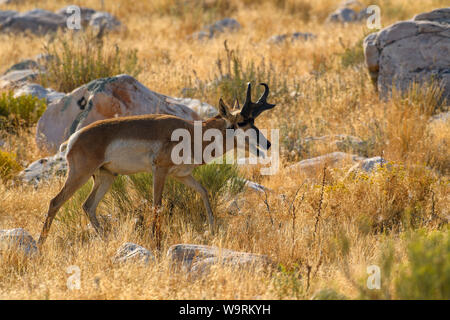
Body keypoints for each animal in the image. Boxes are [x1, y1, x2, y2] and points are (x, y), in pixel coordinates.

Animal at [38, 82, 276, 245]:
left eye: (254, 120)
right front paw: (156, 241)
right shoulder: (159, 171)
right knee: (55, 202)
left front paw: (213, 229)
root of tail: (74, 138)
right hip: (80, 175)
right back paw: (40, 246)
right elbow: (157, 204)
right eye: (241, 122)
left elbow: (204, 192)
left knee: (88, 206)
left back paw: (106, 239)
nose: (268, 143)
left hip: (105, 177)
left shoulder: (182, 175)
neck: (191, 133)